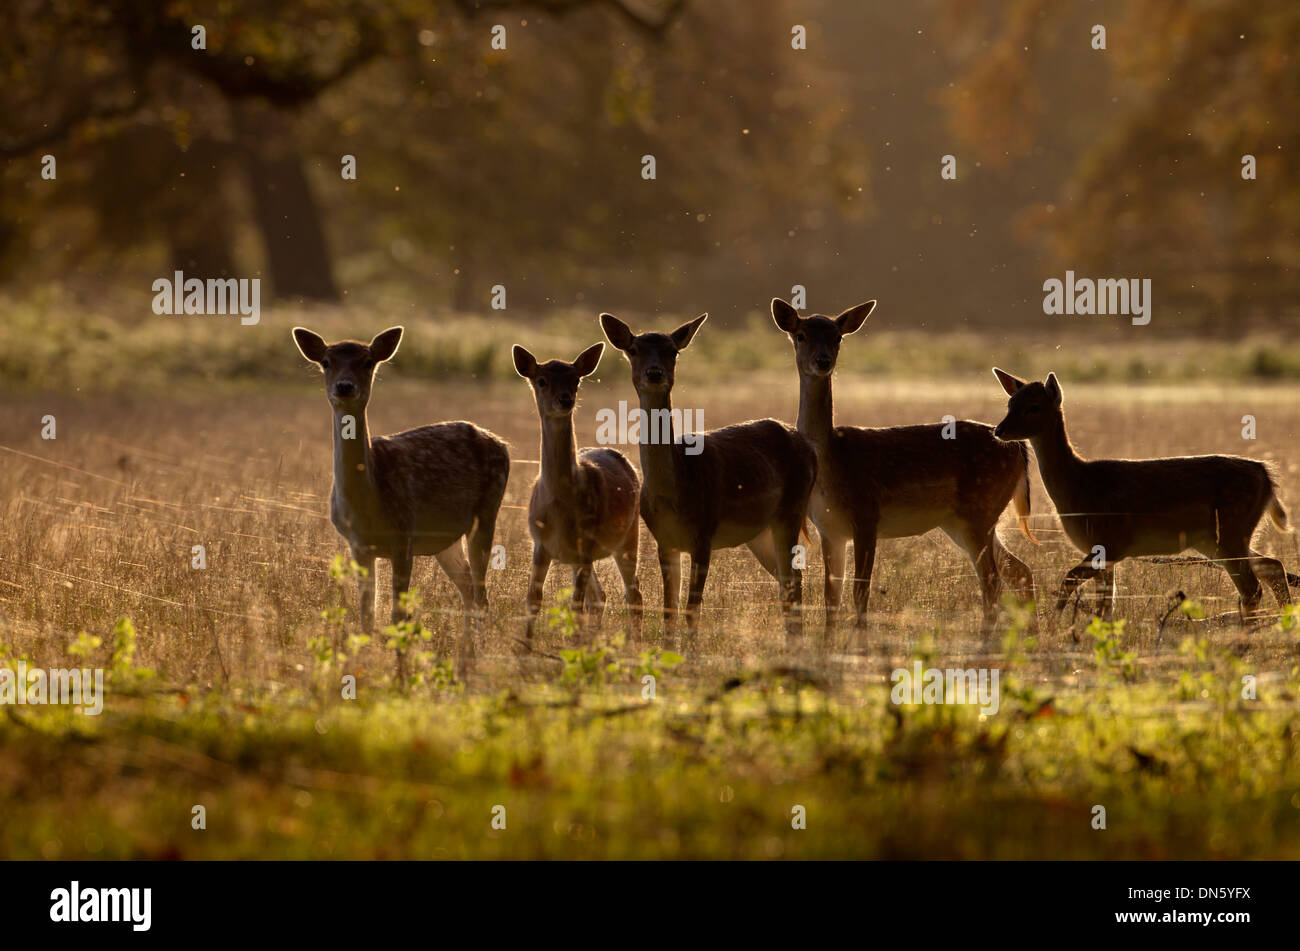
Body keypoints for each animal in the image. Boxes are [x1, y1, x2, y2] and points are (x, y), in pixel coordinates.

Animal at [292, 327, 509, 670]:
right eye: (326, 361)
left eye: (368, 361)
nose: (344, 386)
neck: (369, 504)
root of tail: (502, 444)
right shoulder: (358, 545)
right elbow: (367, 616)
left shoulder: (404, 534)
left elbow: (398, 616)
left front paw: (400, 672)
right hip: (445, 539)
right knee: (467, 588)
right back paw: (465, 658)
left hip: (487, 511)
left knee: (482, 594)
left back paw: (478, 659)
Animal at [512, 342, 644, 639]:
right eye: (541, 380)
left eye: (575, 380)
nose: (565, 400)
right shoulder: (540, 544)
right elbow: (533, 600)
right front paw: (523, 648)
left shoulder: (586, 543)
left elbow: (575, 606)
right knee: (601, 597)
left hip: (628, 535)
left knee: (633, 596)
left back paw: (634, 643)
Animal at [595, 311, 811, 639]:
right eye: (633, 349)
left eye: (673, 350)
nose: (654, 373)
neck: (675, 492)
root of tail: (810, 449)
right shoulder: (664, 540)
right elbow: (669, 609)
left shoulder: (704, 533)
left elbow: (692, 609)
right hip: (760, 532)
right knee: (789, 582)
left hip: (792, 511)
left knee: (794, 583)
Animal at [769, 301, 1034, 634]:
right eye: (801, 335)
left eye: (837, 336)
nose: (823, 361)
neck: (831, 464)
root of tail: (1020, 449)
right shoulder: (829, 529)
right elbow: (832, 598)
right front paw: (828, 644)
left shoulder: (866, 515)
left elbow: (860, 592)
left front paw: (860, 642)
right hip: (962, 521)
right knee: (1020, 570)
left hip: (980, 510)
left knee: (993, 582)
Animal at [993, 371, 1289, 631]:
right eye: (1010, 403)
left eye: (1033, 407)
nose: (999, 429)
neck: (1079, 486)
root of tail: (1267, 476)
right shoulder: (1105, 552)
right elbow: (1105, 606)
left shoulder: (1110, 542)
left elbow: (1071, 581)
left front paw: (1053, 627)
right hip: (1216, 540)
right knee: (1273, 566)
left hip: (1230, 529)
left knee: (1252, 587)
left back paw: (1244, 642)